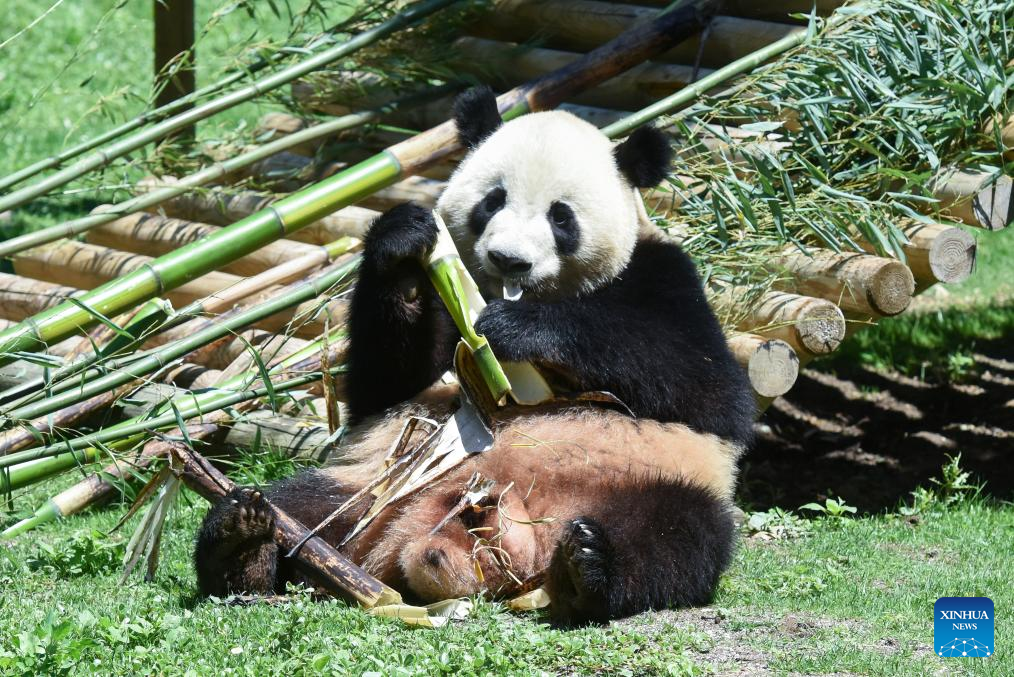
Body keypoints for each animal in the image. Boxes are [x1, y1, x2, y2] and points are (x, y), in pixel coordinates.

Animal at [194, 86, 755, 625]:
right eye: (493, 200)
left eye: (561, 217)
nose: (510, 260)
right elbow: (384, 383)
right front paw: (405, 247)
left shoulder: (664, 276)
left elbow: (708, 388)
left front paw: (516, 330)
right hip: (372, 486)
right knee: (303, 507)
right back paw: (243, 540)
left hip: (655, 480)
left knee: (677, 537)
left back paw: (591, 566)